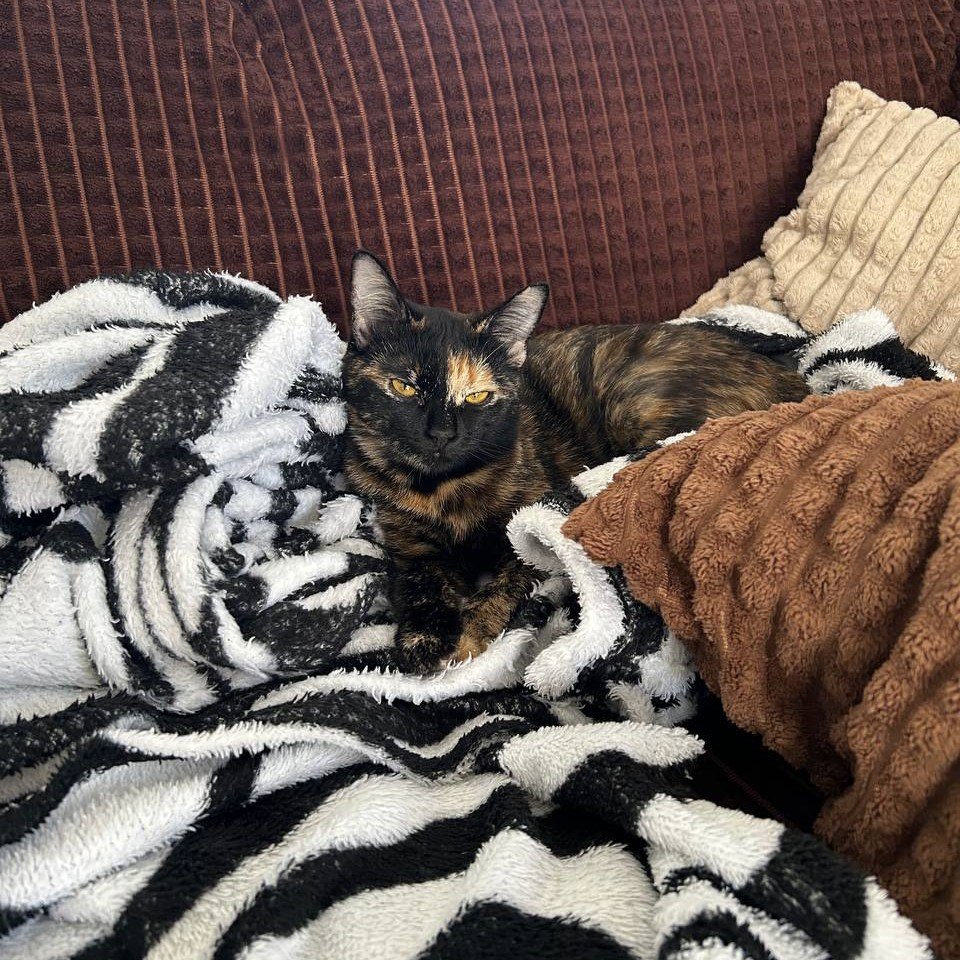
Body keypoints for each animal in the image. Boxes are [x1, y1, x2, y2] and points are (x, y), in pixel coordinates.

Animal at [342, 251, 808, 670]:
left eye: (477, 396)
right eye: (403, 387)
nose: (441, 434)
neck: (443, 489)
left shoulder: (525, 537)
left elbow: (503, 587)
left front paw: (467, 642)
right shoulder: (410, 546)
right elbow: (418, 589)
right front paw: (422, 643)